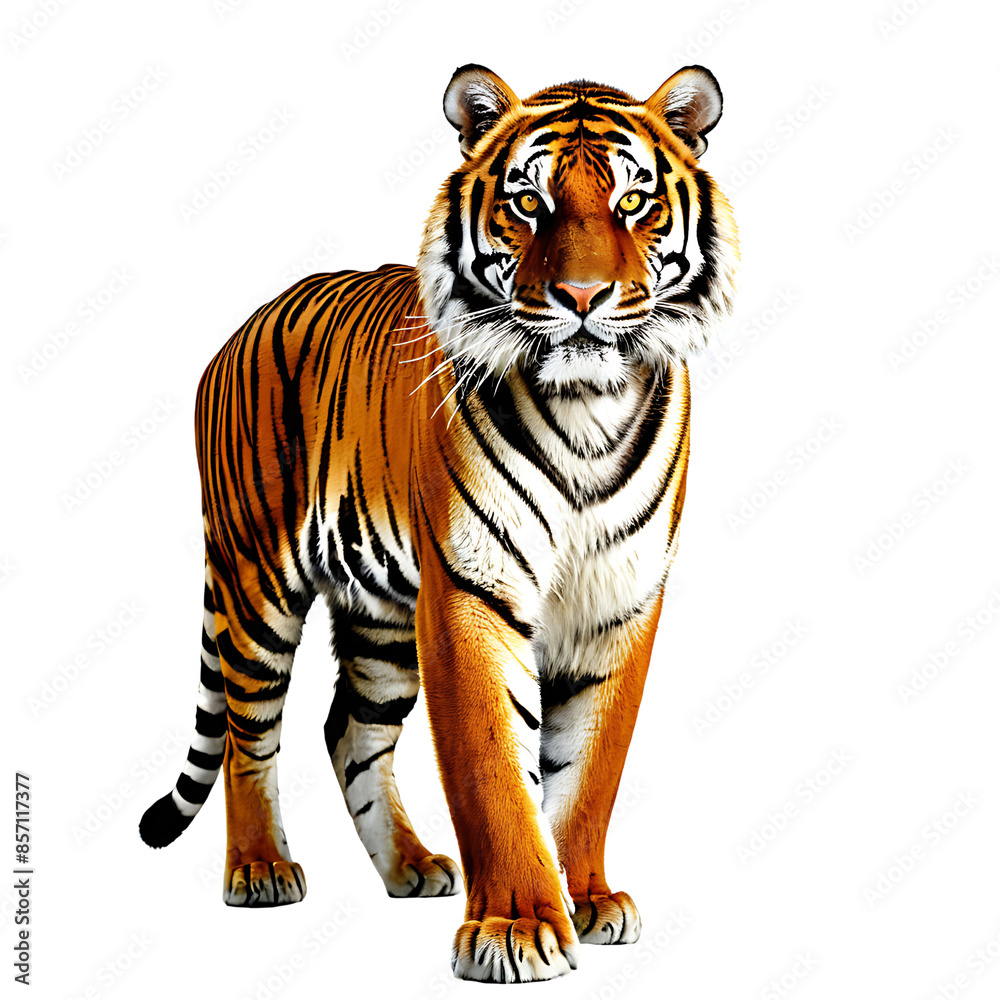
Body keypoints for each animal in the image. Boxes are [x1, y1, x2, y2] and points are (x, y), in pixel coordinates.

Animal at [139, 63, 738, 984]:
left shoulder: (619, 603)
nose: (583, 297)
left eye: (634, 200)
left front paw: (588, 899)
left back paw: (410, 866)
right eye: (528, 202)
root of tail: (243, 327)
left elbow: (589, 770)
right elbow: (493, 770)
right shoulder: (468, 596)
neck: (587, 406)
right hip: (254, 580)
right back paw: (261, 869)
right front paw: (517, 927)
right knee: (248, 732)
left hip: (380, 612)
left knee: (348, 728)